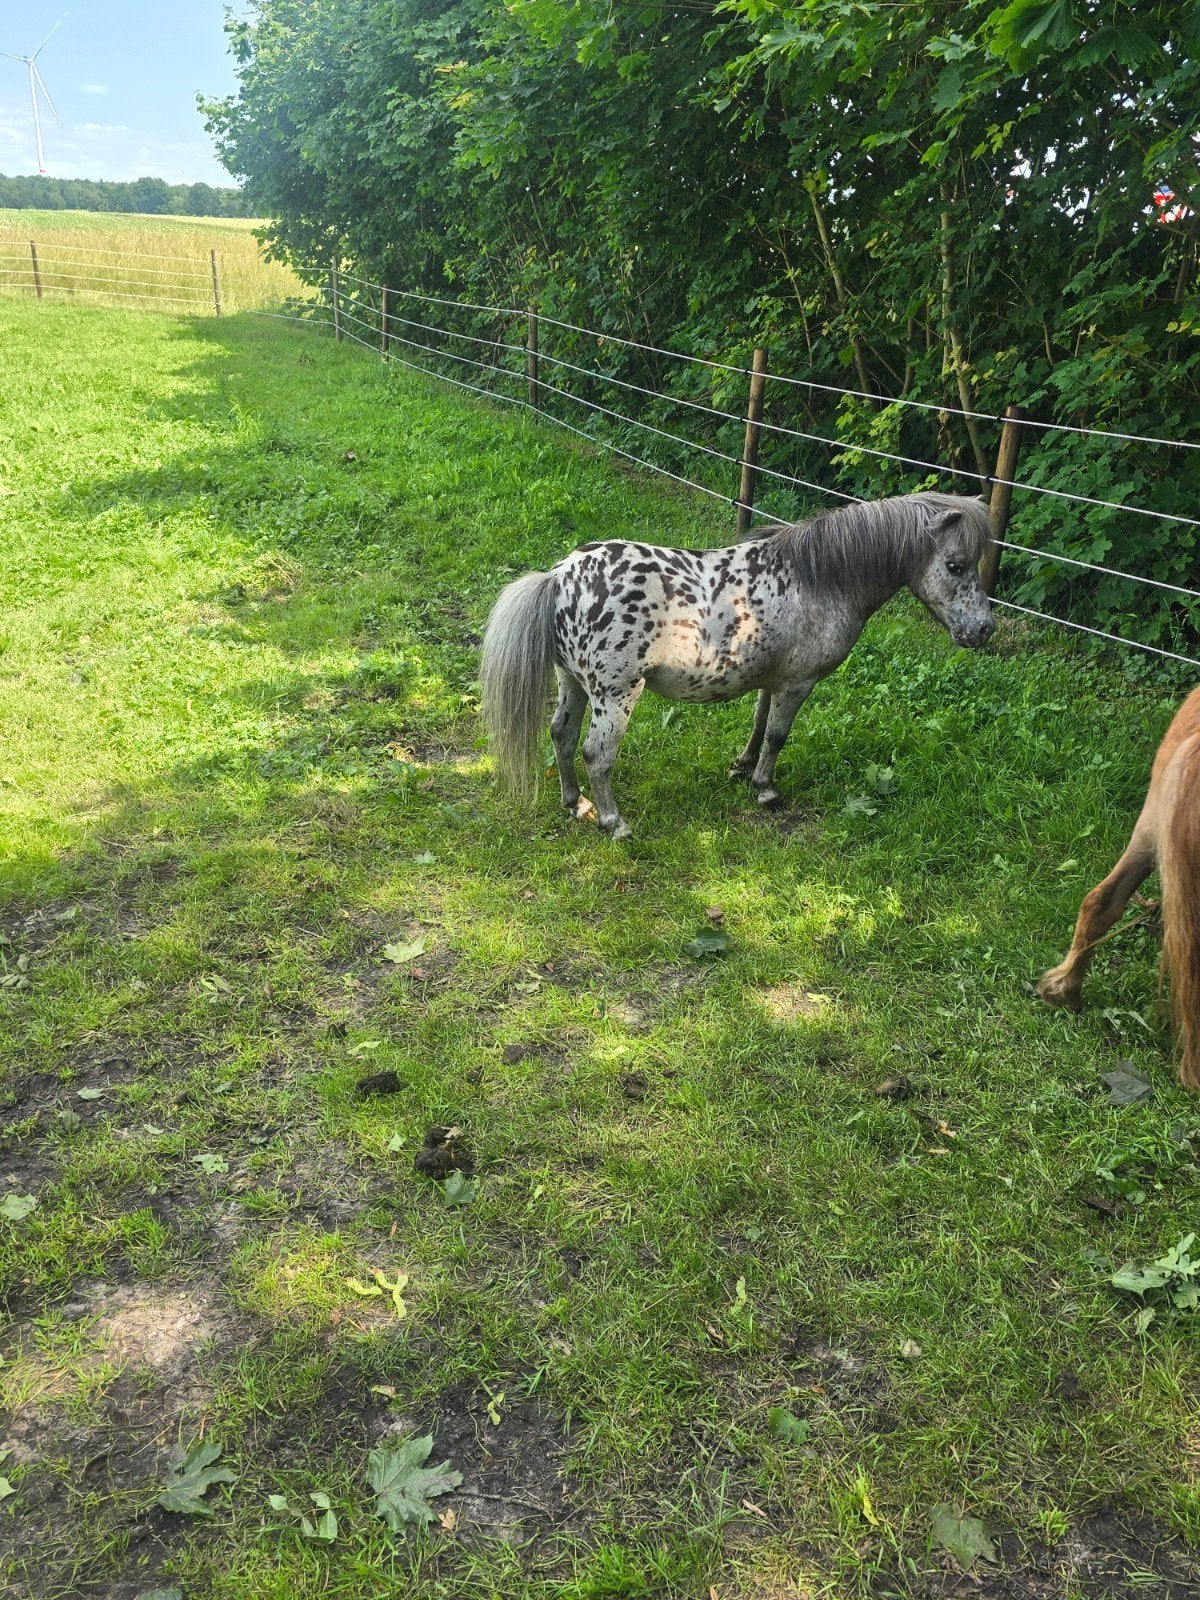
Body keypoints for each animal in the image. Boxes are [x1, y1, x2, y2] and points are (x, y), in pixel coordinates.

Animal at [480, 490, 994, 838]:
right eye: (955, 565)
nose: (984, 630)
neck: (818, 578)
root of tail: (560, 577)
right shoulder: (798, 683)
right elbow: (778, 735)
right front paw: (766, 789)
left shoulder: (773, 679)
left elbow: (759, 725)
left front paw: (743, 768)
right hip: (616, 694)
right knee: (596, 753)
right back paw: (613, 822)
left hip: (573, 682)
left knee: (561, 736)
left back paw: (575, 804)